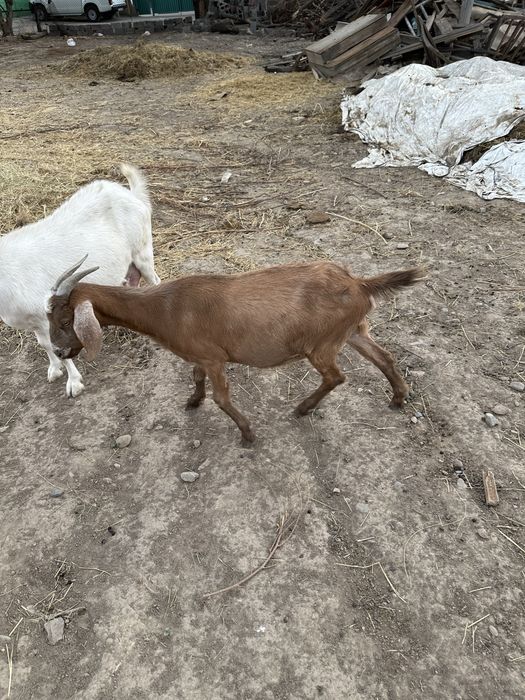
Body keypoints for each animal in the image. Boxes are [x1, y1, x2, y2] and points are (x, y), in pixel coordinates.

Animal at [0, 165, 160, 397]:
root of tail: (132, 195)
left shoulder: (47, 315)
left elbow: (55, 344)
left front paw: (74, 383)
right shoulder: (36, 321)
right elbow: (45, 344)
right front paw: (54, 370)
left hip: (143, 252)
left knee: (155, 281)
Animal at [46, 257, 424, 443]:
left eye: (66, 320)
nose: (60, 353)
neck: (164, 309)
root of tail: (358, 284)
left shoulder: (215, 359)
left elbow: (221, 399)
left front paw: (247, 434)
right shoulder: (200, 356)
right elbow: (195, 377)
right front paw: (192, 401)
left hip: (322, 344)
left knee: (336, 376)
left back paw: (302, 408)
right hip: (354, 330)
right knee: (383, 357)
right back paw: (398, 397)